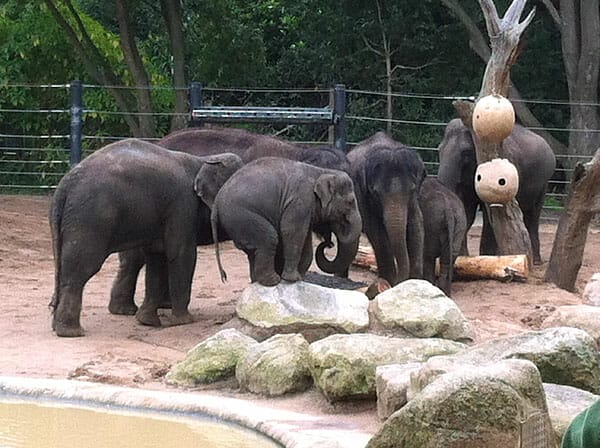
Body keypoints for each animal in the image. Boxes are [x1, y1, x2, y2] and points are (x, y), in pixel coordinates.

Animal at [48, 139, 241, 336]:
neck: (204, 159)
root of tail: (65, 184)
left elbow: (157, 256)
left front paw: (147, 321)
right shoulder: (182, 206)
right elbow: (181, 255)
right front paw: (183, 321)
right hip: (90, 217)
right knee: (81, 267)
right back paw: (71, 332)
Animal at [207, 156, 360, 286]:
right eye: (350, 202)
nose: (329, 243)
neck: (321, 171)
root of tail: (216, 203)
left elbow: (305, 238)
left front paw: (299, 278)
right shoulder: (300, 200)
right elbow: (292, 231)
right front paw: (292, 279)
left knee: (252, 249)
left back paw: (257, 281)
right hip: (241, 216)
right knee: (269, 239)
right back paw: (272, 281)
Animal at [346, 131, 426, 286]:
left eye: (412, 190)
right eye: (375, 193)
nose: (399, 281)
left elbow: (416, 226)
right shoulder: (360, 193)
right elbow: (376, 230)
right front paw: (389, 281)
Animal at [434, 119, 556, 266]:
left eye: (466, 153)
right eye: (439, 150)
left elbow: (490, 215)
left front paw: (486, 258)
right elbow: (468, 213)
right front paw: (464, 258)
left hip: (543, 184)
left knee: (533, 216)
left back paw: (535, 261)